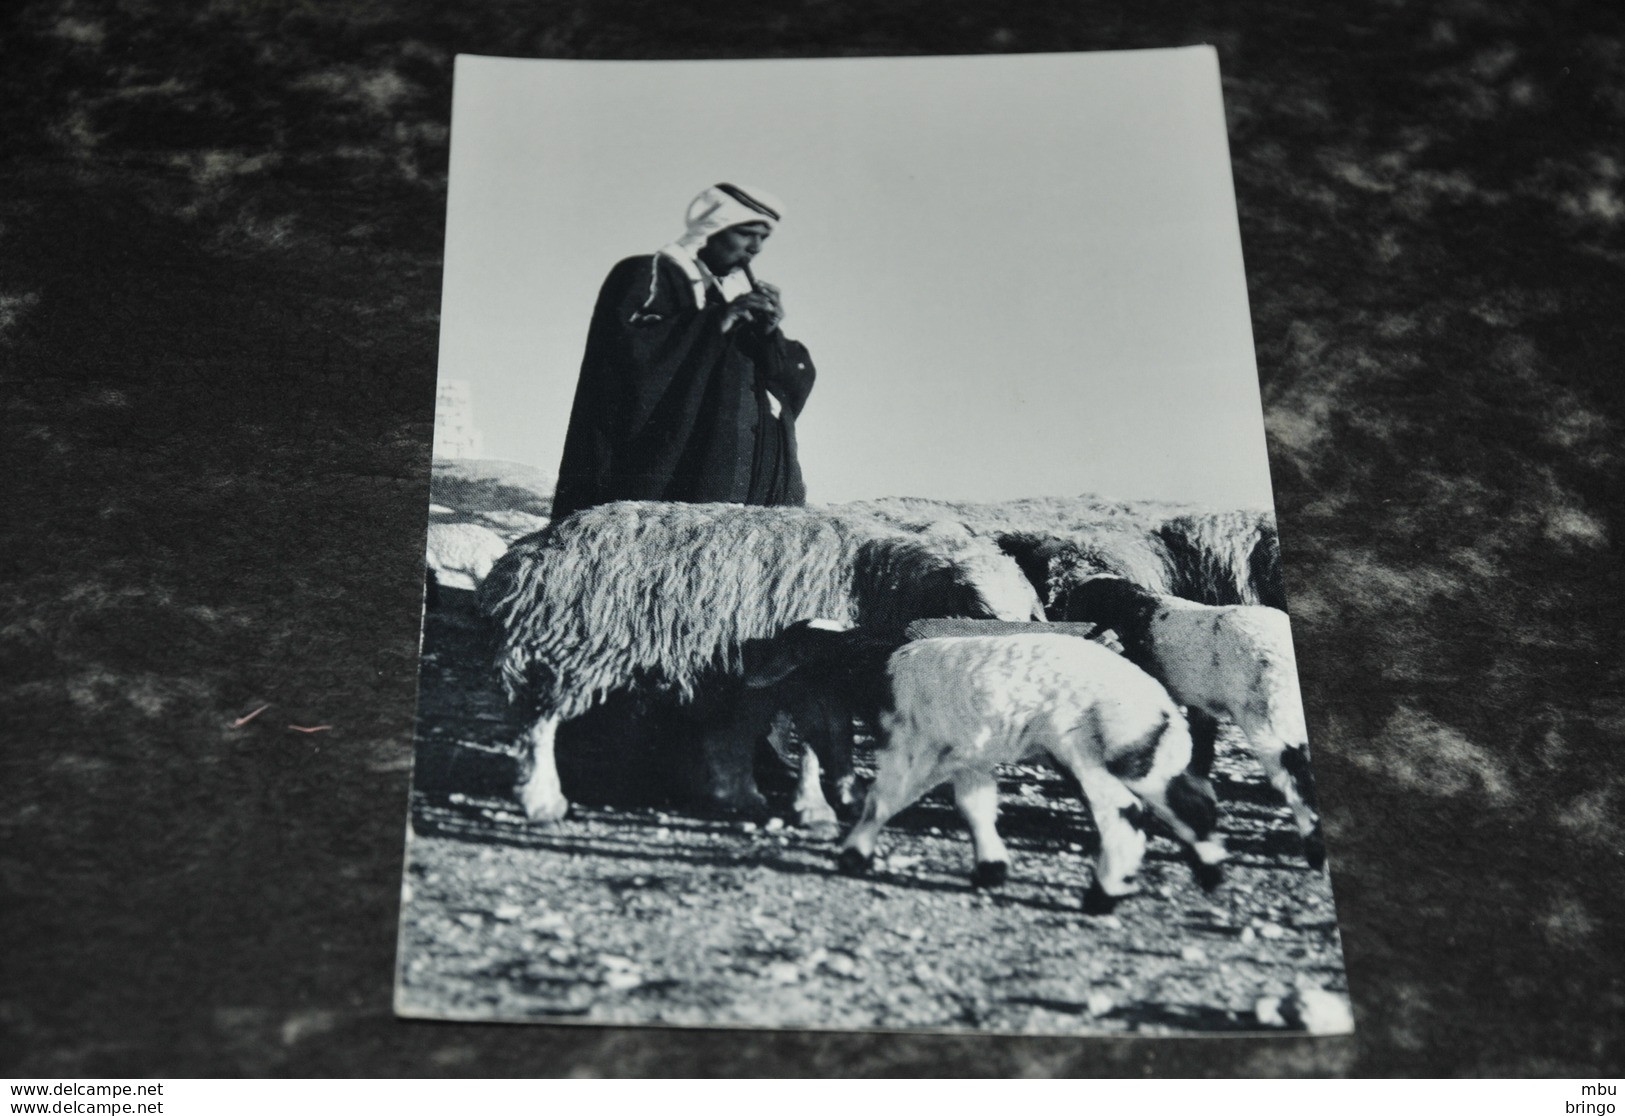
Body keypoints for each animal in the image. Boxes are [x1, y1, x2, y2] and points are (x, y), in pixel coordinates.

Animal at [474, 503, 1046, 825]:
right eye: (982, 612)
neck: (883, 584)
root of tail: (523, 557)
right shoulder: (806, 668)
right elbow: (815, 740)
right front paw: (814, 806)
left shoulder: (763, 669)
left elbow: (774, 733)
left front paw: (748, 792)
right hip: (575, 643)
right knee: (538, 724)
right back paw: (541, 800)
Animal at [744, 623, 1222, 909]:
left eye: (789, 644)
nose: (748, 667)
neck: (872, 668)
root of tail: (1160, 706)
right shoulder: (968, 755)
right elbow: (975, 809)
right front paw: (991, 868)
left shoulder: (914, 745)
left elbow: (882, 801)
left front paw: (853, 854)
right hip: (1141, 756)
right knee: (1189, 800)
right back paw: (1209, 870)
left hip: (1079, 748)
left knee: (1122, 813)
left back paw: (1104, 893)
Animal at [1059, 575, 1326, 870]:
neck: (1131, 606)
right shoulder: (1201, 704)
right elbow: (1201, 749)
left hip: (1268, 716)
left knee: (1297, 777)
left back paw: (1316, 853)